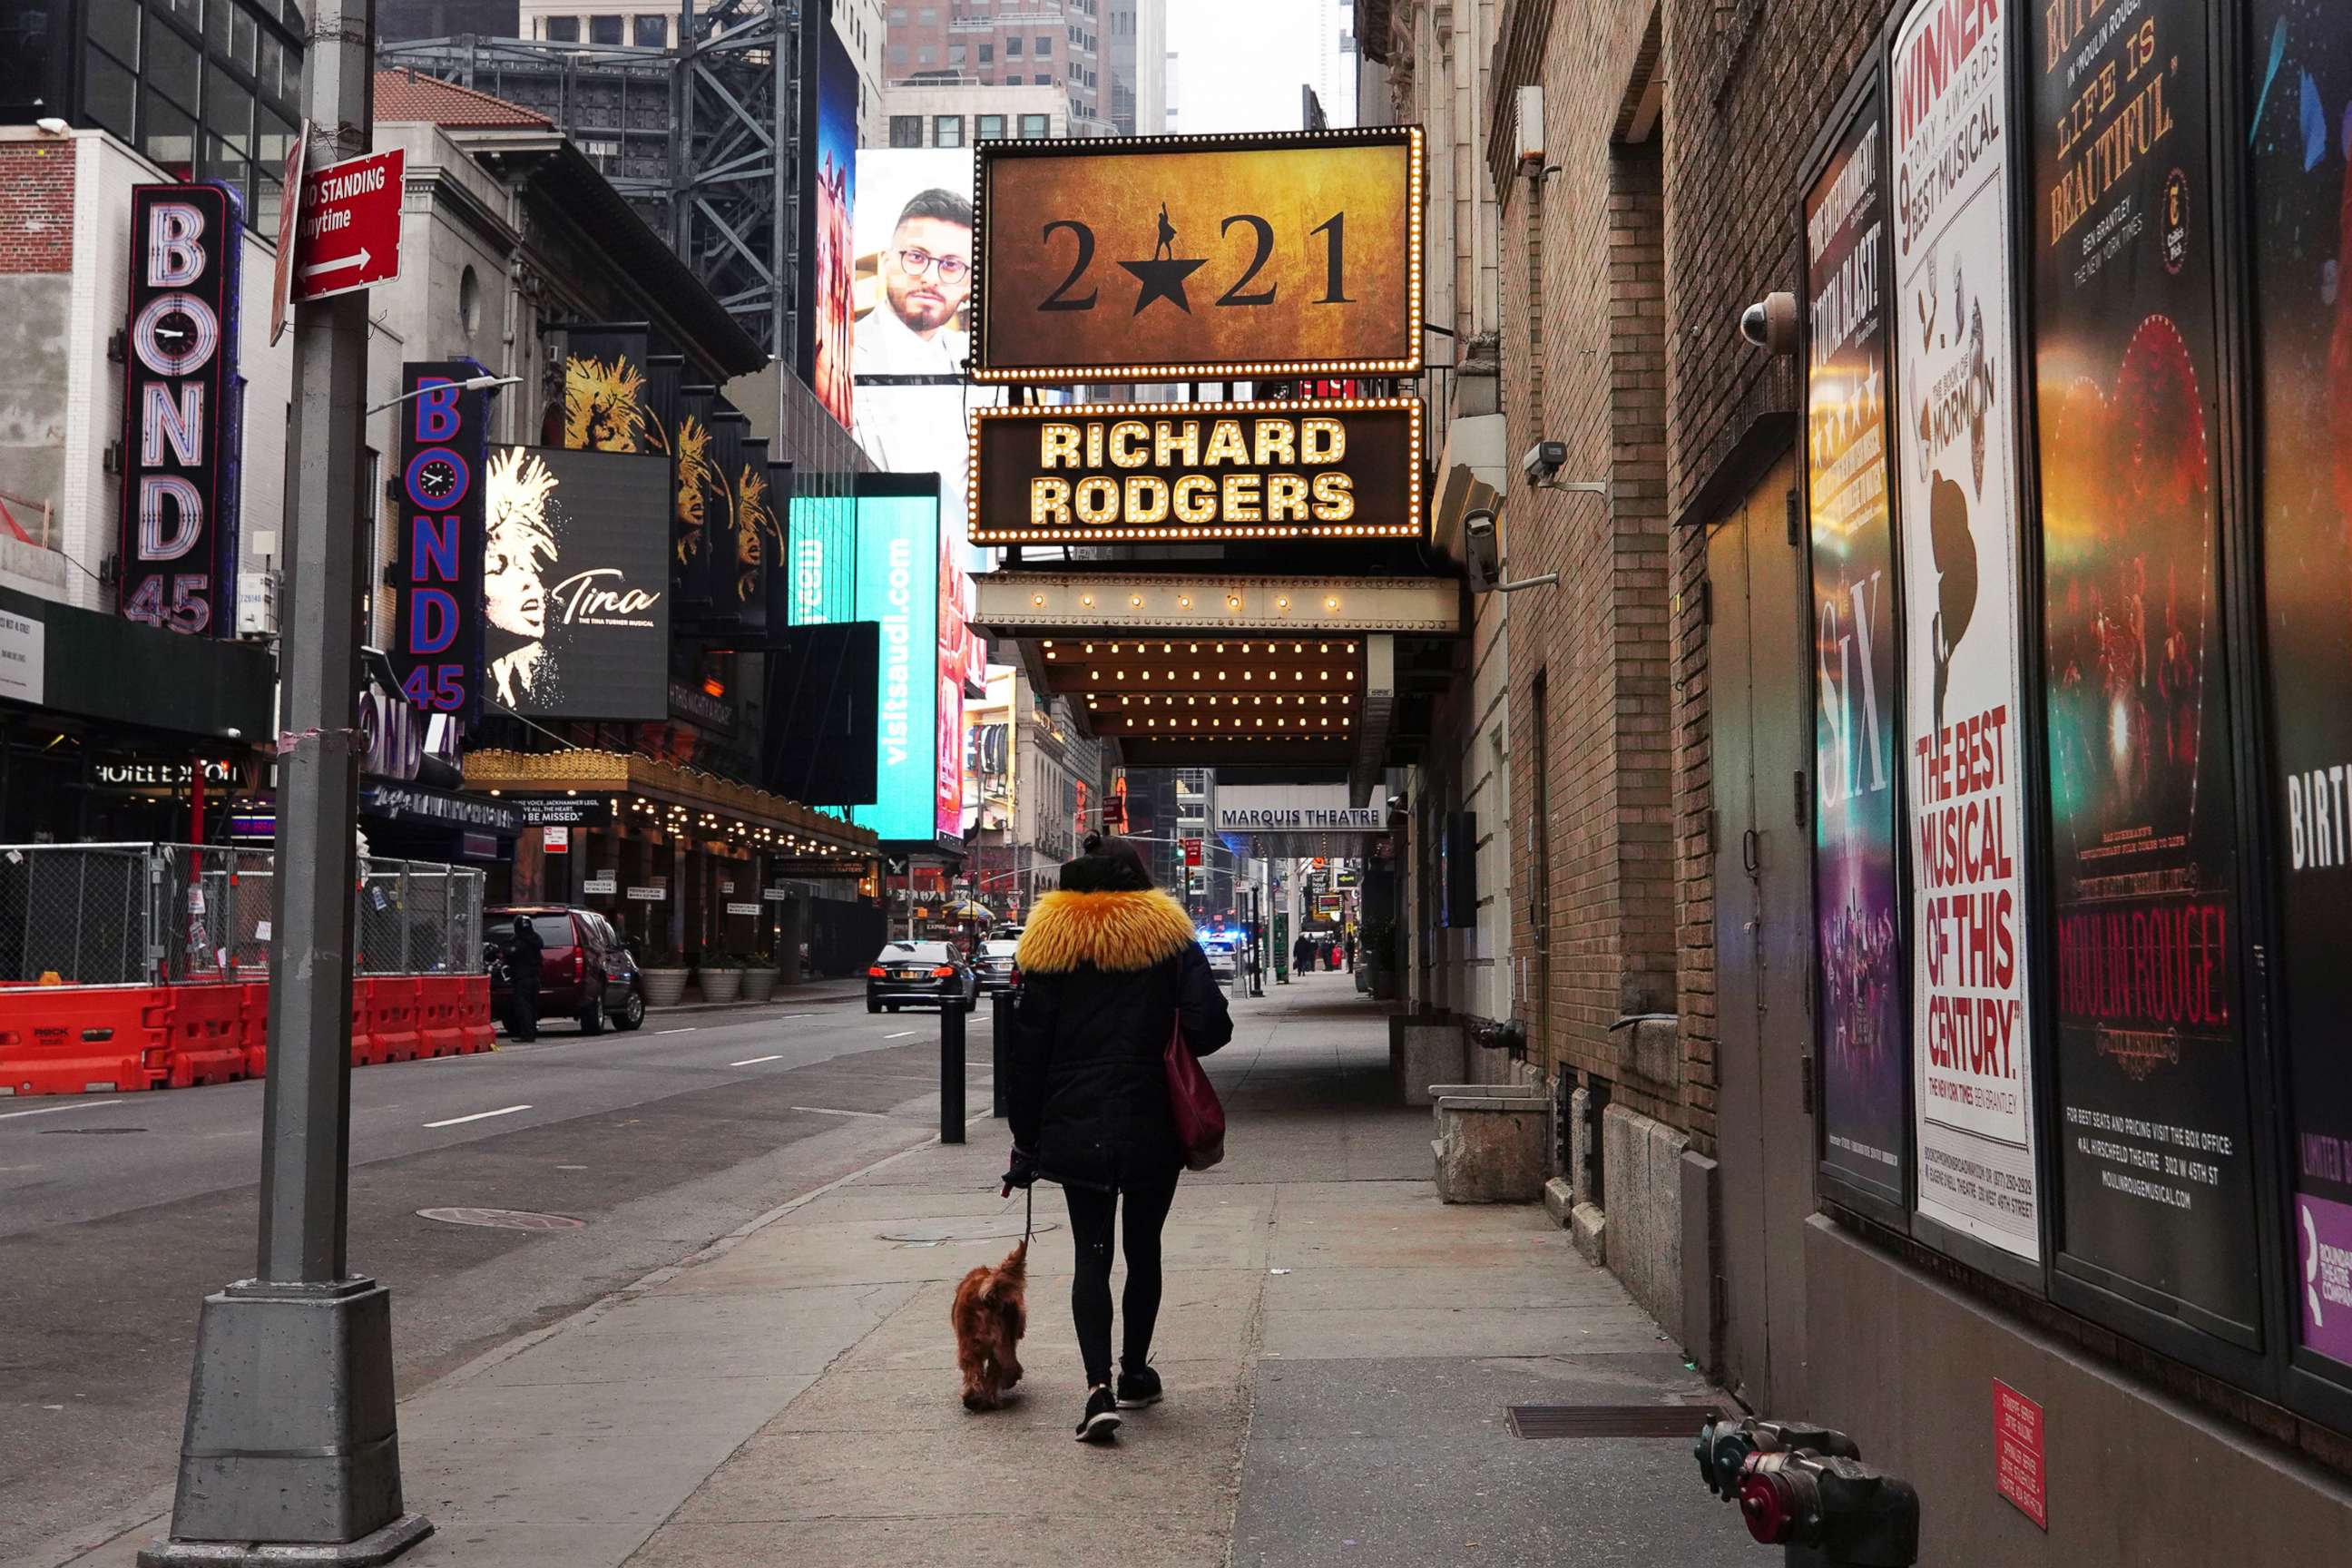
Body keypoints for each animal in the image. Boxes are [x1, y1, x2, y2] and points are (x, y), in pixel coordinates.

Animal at [945, 1240, 1030, 1410]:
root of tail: (989, 1297)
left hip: (973, 1344)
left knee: (977, 1370)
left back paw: (974, 1400)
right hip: (1000, 1341)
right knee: (1000, 1368)